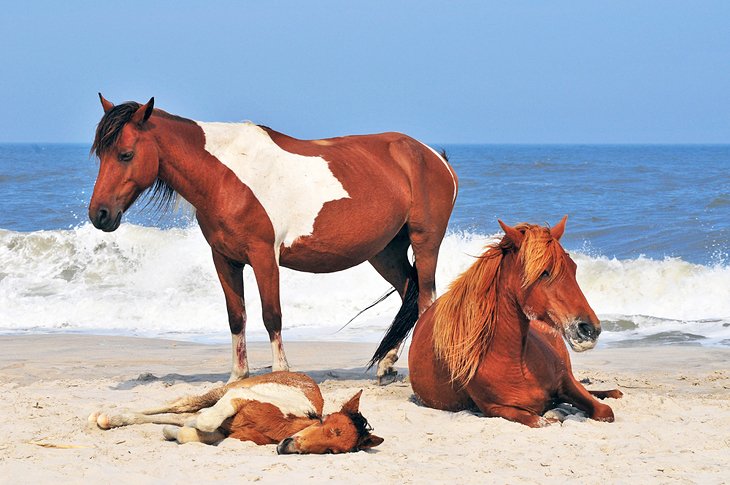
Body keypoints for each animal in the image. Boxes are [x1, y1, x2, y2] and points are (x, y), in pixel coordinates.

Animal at [89, 94, 456, 382]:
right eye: (100, 155)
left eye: (125, 154)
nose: (99, 214)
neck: (225, 176)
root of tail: (432, 155)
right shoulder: (225, 259)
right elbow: (236, 316)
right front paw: (237, 376)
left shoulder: (264, 256)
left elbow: (271, 315)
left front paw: (280, 373)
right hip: (384, 252)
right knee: (409, 294)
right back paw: (388, 364)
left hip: (425, 243)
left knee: (426, 300)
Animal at [89, 370, 384, 454]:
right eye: (327, 425)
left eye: (333, 451)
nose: (287, 447)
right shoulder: (235, 398)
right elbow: (204, 420)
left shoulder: (226, 433)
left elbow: (190, 432)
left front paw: (172, 433)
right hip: (227, 389)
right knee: (183, 404)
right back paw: (105, 417)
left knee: (180, 413)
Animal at [382, 217, 620, 426]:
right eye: (544, 272)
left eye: (573, 268)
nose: (589, 329)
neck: (516, 362)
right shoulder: (495, 408)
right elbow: (541, 420)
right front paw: (556, 414)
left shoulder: (566, 381)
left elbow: (604, 411)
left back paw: (613, 392)